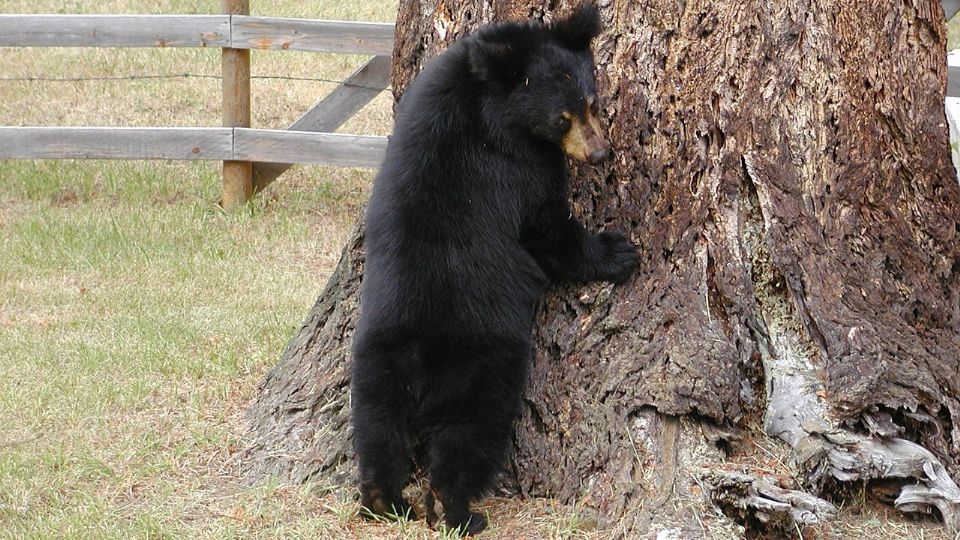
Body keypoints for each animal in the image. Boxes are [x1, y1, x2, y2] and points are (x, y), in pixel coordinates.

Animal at [352, 3, 636, 536]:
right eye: (562, 118)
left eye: (592, 102)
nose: (600, 153)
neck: (487, 99)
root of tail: (419, 359)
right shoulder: (516, 166)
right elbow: (549, 228)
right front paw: (619, 251)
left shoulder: (431, 88)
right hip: (483, 367)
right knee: (468, 438)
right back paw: (460, 512)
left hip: (375, 362)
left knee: (378, 430)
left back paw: (385, 499)